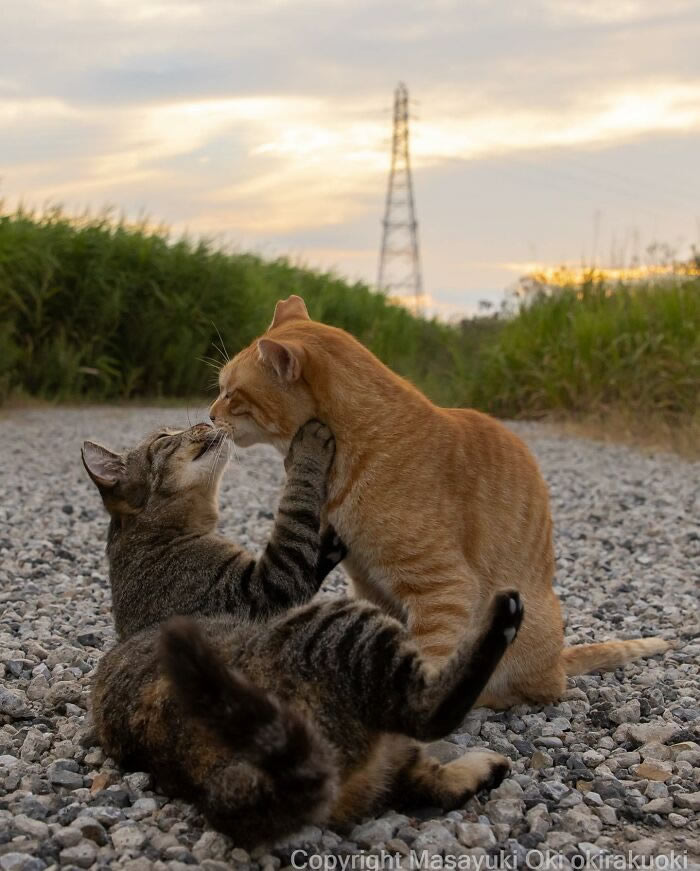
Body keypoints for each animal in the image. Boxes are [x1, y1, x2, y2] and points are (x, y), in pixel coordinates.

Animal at [83, 418, 524, 848]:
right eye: (165, 437)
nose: (200, 421)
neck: (157, 536)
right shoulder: (264, 586)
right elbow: (295, 513)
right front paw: (308, 446)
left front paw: (330, 543)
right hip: (347, 624)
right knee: (427, 713)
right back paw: (502, 619)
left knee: (423, 782)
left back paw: (484, 767)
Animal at [211, 298, 668, 708]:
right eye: (220, 390)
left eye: (232, 395)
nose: (211, 414)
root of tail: (557, 660)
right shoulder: (369, 584)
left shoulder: (443, 588)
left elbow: (429, 658)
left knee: (536, 690)